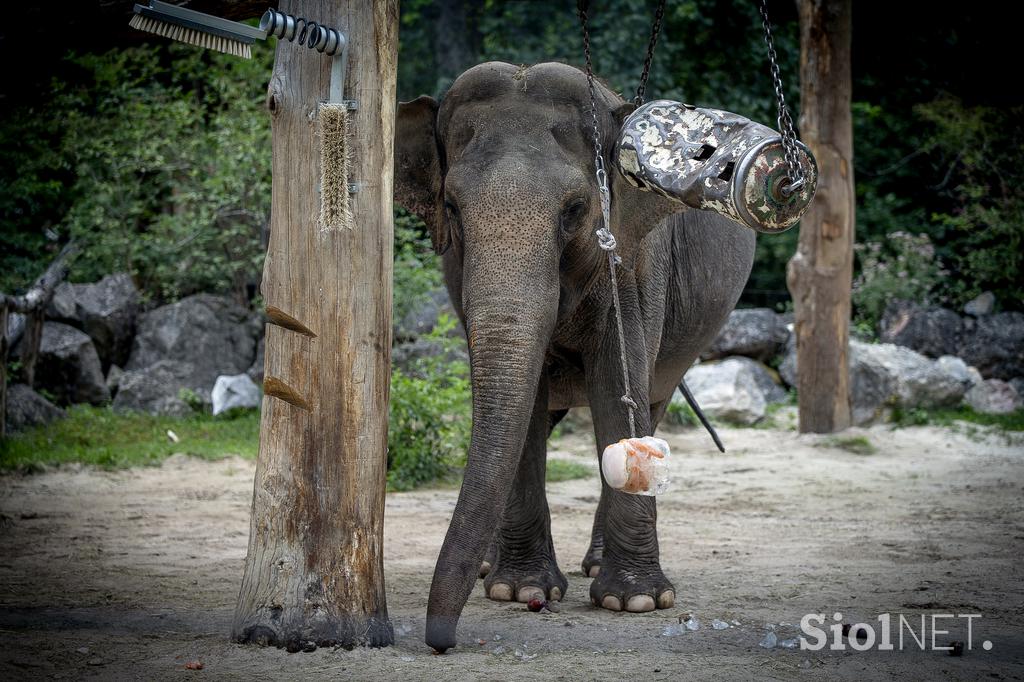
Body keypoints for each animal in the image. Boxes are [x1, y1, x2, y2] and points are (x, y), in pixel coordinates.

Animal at [395, 61, 757, 651]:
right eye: (451, 208)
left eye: (575, 209)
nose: (440, 641)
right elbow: (524, 403)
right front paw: (518, 592)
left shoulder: (636, 262)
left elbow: (616, 386)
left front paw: (635, 602)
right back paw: (490, 570)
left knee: (648, 405)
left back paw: (595, 567)